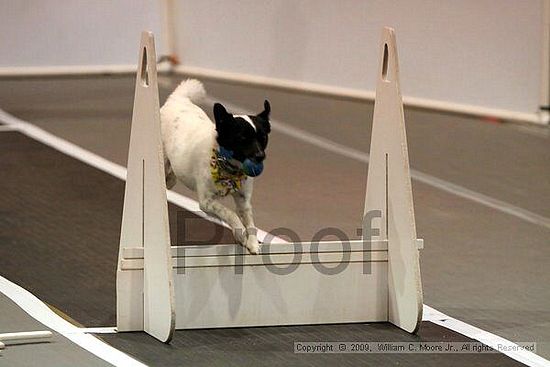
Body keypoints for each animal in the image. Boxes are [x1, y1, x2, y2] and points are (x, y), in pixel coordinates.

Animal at [160, 80, 272, 256]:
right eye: (242, 138)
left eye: (263, 138)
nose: (260, 156)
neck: (230, 170)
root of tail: (178, 99)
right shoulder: (207, 202)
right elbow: (230, 214)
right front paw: (240, 233)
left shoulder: (243, 200)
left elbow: (250, 222)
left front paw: (253, 243)